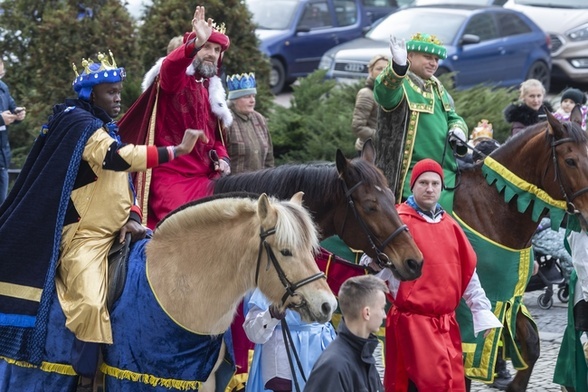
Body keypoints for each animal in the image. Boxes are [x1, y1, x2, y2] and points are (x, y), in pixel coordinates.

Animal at [0, 194, 336, 392]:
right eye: (286, 251)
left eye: (311, 249)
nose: (328, 305)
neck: (177, 286)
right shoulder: (133, 378)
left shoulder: (203, 381)